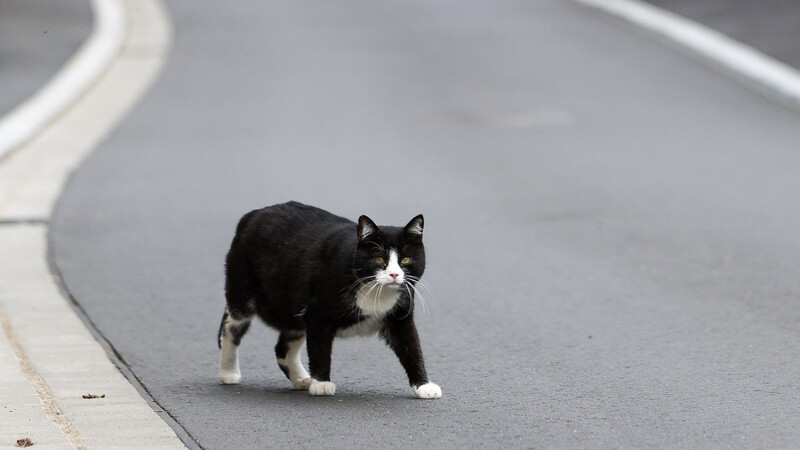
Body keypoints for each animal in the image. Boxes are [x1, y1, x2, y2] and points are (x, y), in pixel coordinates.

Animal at [217, 202, 444, 400]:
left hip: (292, 306)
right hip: (243, 290)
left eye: (406, 259)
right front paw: (321, 384)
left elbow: (412, 348)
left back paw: (301, 379)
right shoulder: (317, 313)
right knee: (231, 328)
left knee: (283, 347)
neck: (374, 292)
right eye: (379, 258)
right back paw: (228, 373)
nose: (395, 274)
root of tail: (252, 215)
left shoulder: (400, 318)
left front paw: (424, 386)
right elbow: (320, 349)